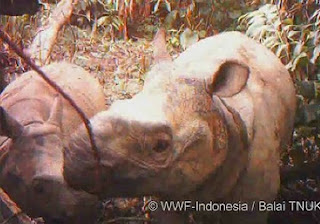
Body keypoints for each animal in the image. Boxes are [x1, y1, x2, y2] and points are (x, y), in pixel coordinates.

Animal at [63, 32, 296, 224]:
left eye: (160, 145)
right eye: (116, 105)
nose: (73, 160)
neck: (219, 114)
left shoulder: (253, 200)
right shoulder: (164, 185)